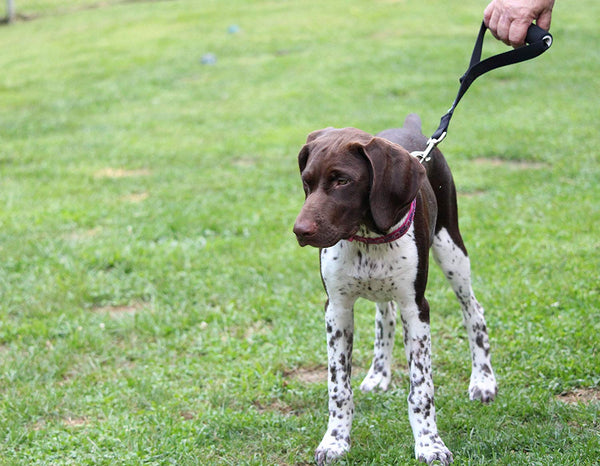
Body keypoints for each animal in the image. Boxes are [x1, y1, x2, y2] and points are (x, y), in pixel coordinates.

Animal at [292, 114, 496, 464]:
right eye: (308, 181)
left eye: (342, 180)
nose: (300, 231)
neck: (367, 237)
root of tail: (411, 128)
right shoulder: (337, 310)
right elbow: (338, 387)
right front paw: (335, 440)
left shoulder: (416, 309)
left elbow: (421, 389)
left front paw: (430, 444)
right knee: (383, 318)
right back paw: (378, 374)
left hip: (451, 251)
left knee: (474, 311)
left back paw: (483, 380)